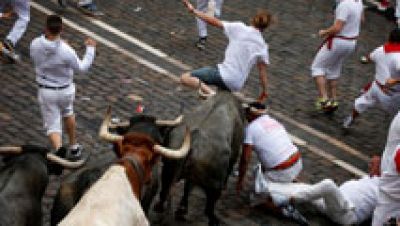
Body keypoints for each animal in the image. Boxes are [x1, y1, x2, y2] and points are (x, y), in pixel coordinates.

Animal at [155, 91, 245, 226]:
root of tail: (193, 139)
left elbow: (187, 187)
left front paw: (181, 210)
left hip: (168, 169)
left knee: (164, 192)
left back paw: (166, 208)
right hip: (214, 185)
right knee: (208, 208)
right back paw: (213, 220)